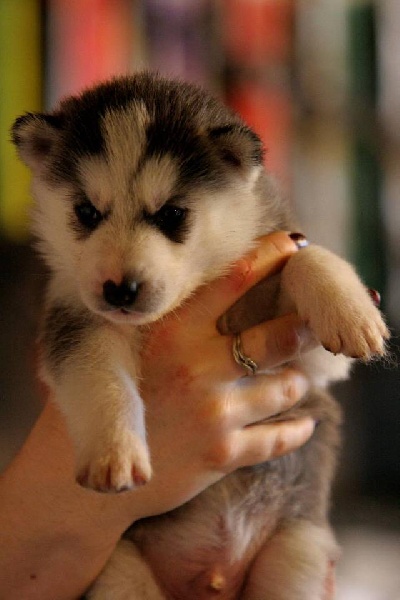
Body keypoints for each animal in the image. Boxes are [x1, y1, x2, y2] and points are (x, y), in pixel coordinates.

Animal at [12, 72, 389, 599]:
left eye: (172, 215)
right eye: (86, 212)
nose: (119, 290)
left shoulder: (310, 365)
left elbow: (302, 258)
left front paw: (351, 309)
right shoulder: (74, 317)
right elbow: (98, 377)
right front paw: (114, 449)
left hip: (297, 551)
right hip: (120, 572)